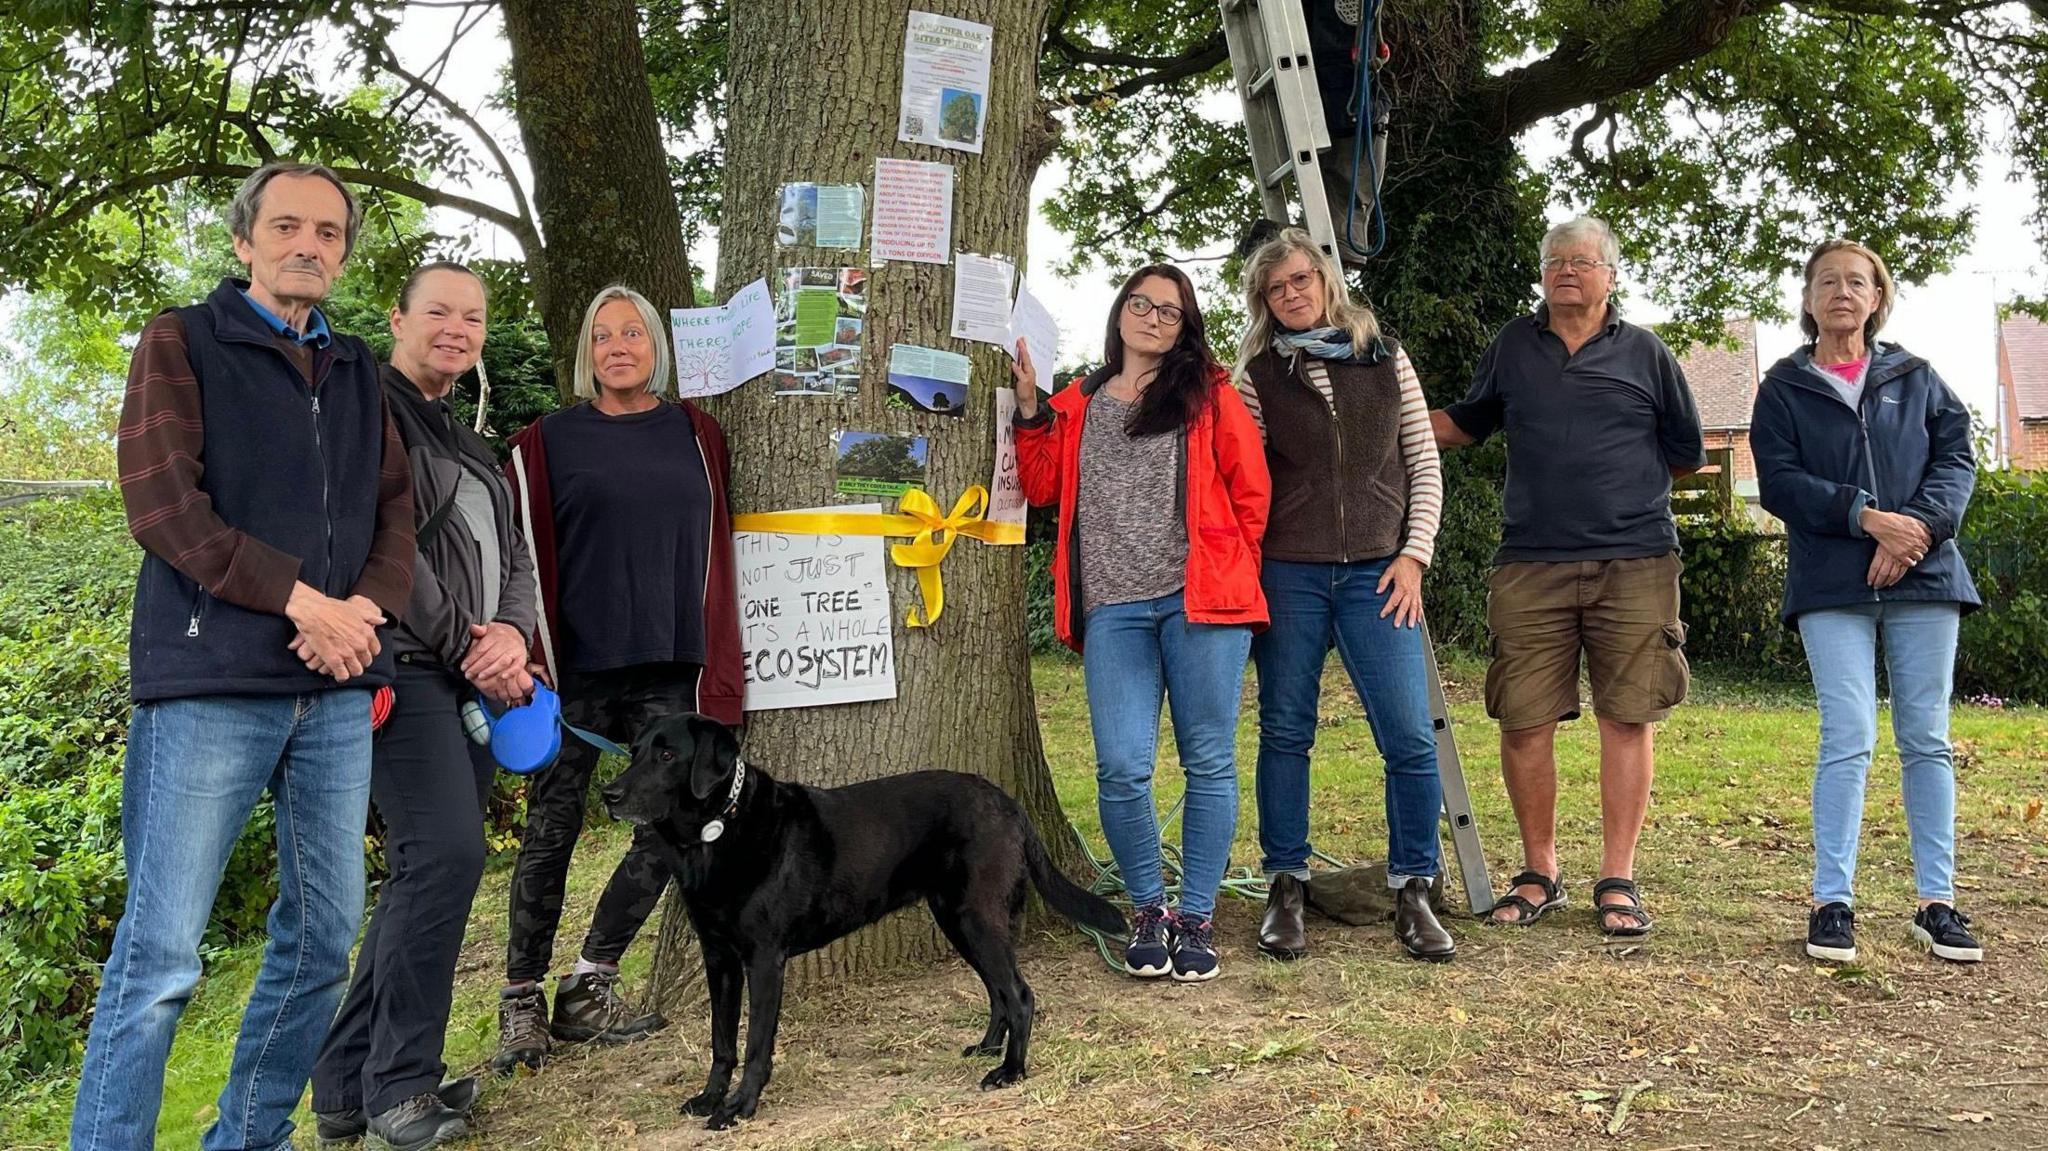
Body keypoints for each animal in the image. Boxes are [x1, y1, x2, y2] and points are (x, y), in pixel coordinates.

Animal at [598, 712, 1130, 1122]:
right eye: (635, 751)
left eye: (668, 756)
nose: (609, 795)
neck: (718, 830)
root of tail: (1009, 802)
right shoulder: (719, 959)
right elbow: (722, 1040)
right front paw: (710, 1098)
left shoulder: (764, 960)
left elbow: (754, 1045)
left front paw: (739, 1107)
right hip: (958, 920)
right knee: (998, 990)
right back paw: (988, 1047)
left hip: (975, 919)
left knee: (1019, 994)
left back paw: (1011, 1071)